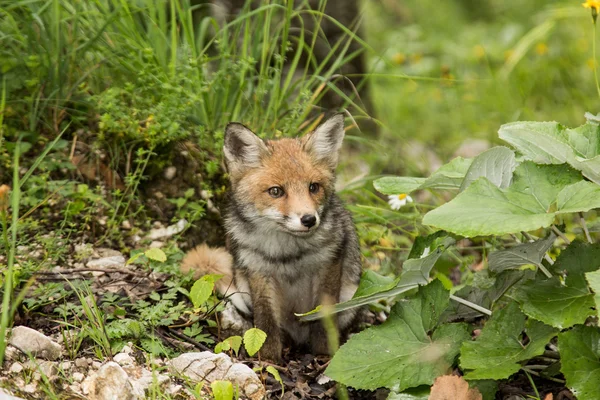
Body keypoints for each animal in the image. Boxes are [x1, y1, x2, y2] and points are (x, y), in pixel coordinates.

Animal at [180, 113, 360, 362]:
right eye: (276, 191)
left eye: (313, 187)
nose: (309, 220)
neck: (287, 253)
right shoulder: (259, 270)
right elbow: (265, 323)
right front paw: (267, 360)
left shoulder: (328, 263)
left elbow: (324, 319)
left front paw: (325, 354)